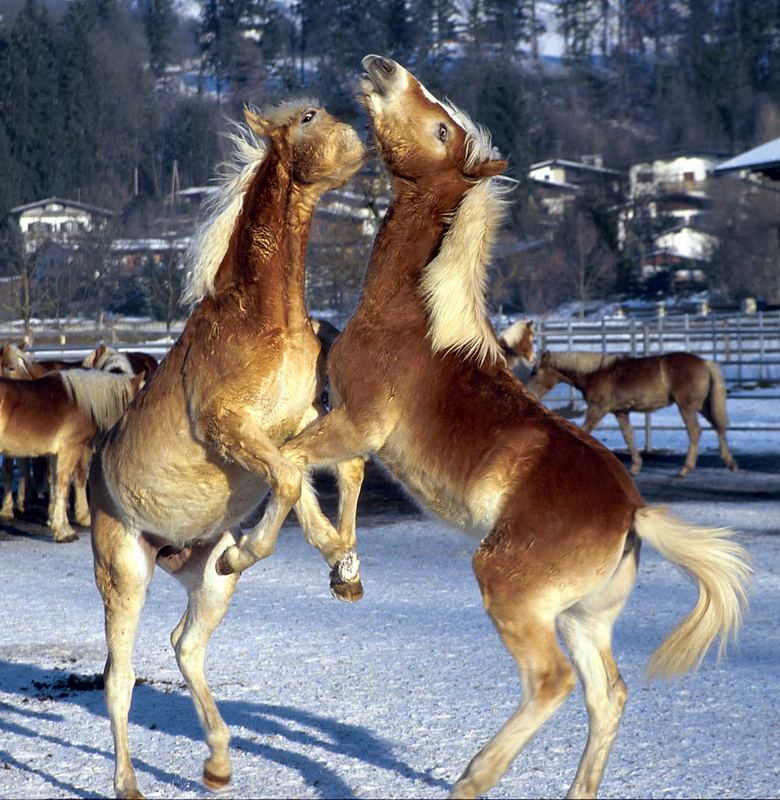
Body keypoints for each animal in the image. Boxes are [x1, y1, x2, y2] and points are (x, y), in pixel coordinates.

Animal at [87, 101, 368, 800]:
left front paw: (343, 566)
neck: (265, 316)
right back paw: (128, 784)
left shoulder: (298, 419)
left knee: (186, 645)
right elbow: (290, 479)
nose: (362, 137)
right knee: (118, 681)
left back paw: (217, 763)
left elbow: (329, 470)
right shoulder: (230, 425)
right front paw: (270, 549)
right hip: (123, 575)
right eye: (309, 115)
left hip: (204, 584)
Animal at [524, 348, 736, 476]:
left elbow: (584, 431)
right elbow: (629, 436)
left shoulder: (597, 409)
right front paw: (635, 467)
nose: (529, 393)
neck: (596, 373)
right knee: (719, 427)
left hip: (687, 407)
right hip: (703, 406)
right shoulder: (621, 412)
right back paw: (730, 463)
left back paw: (685, 469)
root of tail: (705, 363)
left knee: (695, 431)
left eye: (535, 372)